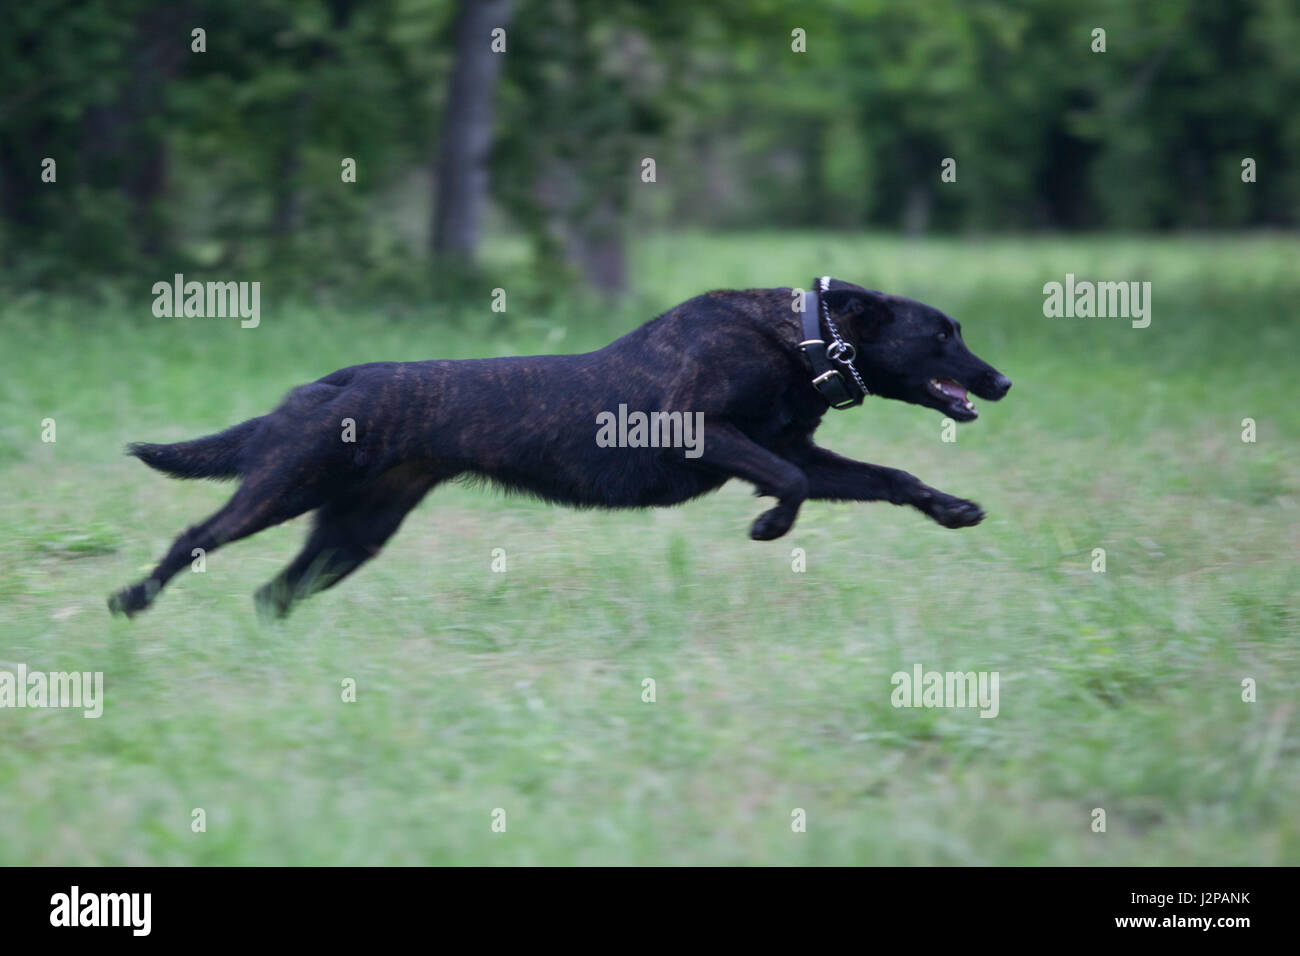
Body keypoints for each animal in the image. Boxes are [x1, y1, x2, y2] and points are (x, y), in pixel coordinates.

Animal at [109, 277, 1003, 621]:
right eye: (942, 335)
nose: (1001, 381)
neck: (800, 340)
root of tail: (333, 381)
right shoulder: (701, 431)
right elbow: (785, 481)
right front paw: (770, 529)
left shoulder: (804, 453)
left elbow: (890, 475)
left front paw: (955, 508)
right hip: (285, 484)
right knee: (195, 539)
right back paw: (129, 601)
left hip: (355, 528)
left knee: (273, 593)